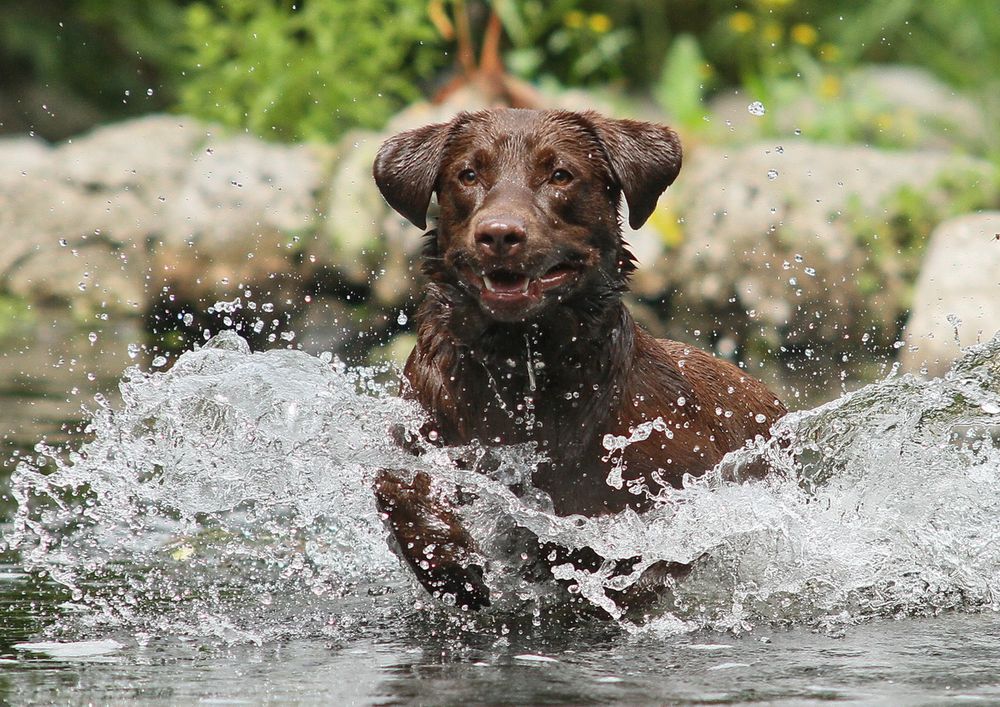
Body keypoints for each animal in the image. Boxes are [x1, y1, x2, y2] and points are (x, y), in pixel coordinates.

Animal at [372, 109, 784, 612]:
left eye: (560, 175)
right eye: (468, 175)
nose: (499, 234)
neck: (521, 364)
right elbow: (394, 483)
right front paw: (449, 560)